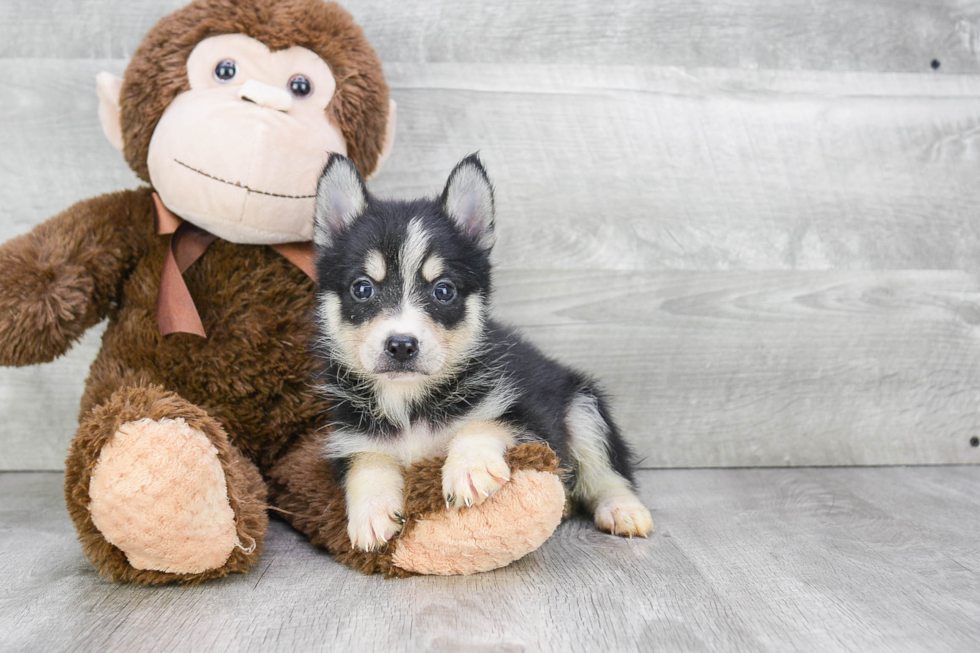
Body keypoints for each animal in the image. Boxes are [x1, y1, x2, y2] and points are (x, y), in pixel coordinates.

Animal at [310, 154, 656, 552]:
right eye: (362, 288)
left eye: (444, 291)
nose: (401, 345)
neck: (409, 402)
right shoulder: (349, 437)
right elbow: (367, 460)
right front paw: (371, 510)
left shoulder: (531, 419)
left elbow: (484, 422)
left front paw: (469, 468)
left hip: (583, 407)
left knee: (607, 473)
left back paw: (622, 509)